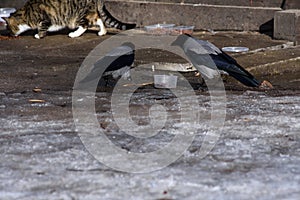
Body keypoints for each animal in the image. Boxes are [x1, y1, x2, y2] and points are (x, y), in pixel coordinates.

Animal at [4, 0, 135, 38]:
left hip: (77, 16)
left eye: (8, 29)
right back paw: (102, 32)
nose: (10, 35)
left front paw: (38, 35)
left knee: (85, 25)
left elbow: (42, 28)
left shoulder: (44, 19)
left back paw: (74, 34)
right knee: (98, 19)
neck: (25, 14)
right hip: (88, 13)